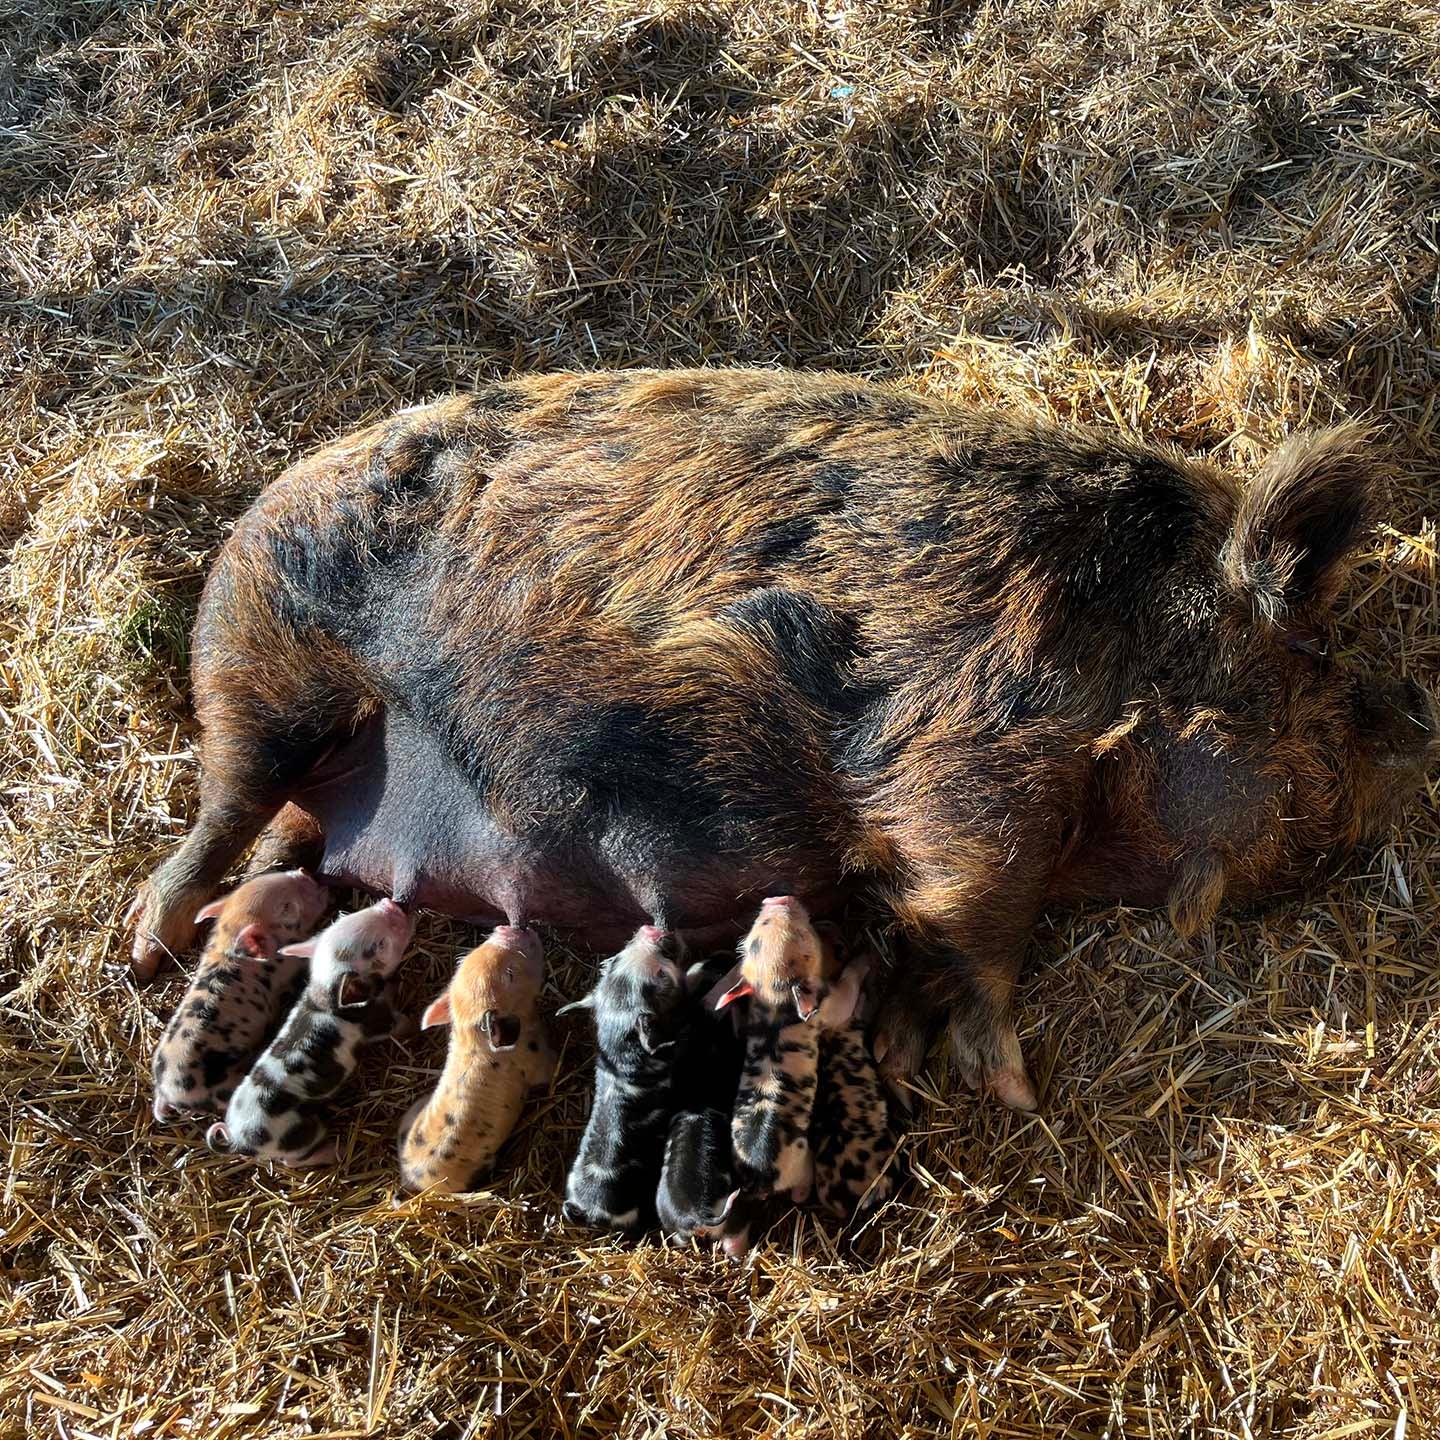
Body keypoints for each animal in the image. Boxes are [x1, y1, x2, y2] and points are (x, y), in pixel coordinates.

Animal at [207, 898, 413, 1166]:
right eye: (380, 945)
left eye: (348, 916)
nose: (390, 903)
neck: (324, 994)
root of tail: (236, 1139)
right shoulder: (375, 1020)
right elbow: (397, 1025)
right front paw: (414, 1023)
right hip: (297, 1136)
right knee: (293, 1160)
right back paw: (334, 1151)